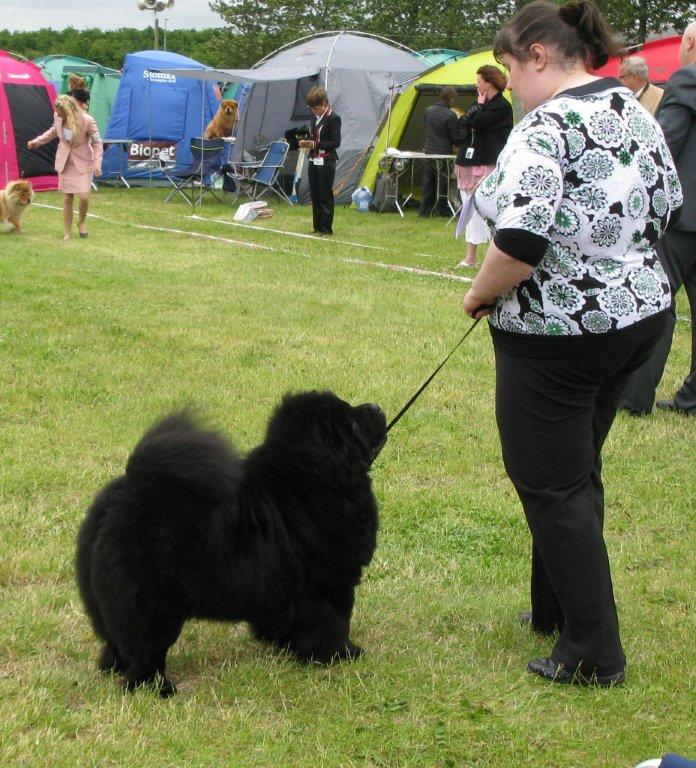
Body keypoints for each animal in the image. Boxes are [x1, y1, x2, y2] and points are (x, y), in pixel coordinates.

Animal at [76, 390, 386, 696]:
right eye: (351, 424)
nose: (377, 406)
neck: (312, 482)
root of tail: (127, 491)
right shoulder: (324, 587)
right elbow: (332, 623)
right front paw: (342, 654)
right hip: (150, 606)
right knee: (143, 653)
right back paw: (160, 688)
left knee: (115, 643)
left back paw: (112, 669)